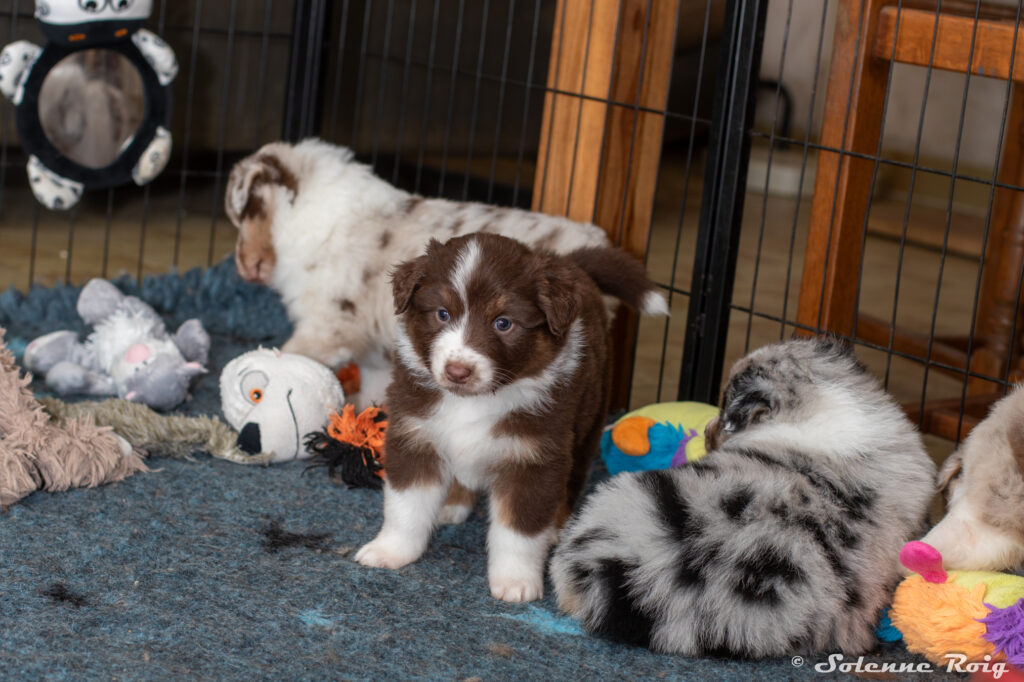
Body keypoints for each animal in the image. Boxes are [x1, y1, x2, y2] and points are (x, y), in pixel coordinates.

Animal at [224, 137, 606, 403]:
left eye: (245, 214)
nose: (240, 268)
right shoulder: (375, 342)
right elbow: (374, 378)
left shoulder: (330, 324)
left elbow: (291, 355)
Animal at [354, 233, 671, 602]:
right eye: (442, 314)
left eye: (503, 323)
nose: (457, 371)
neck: (474, 401)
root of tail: (571, 264)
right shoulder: (415, 435)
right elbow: (405, 507)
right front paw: (389, 551)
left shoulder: (533, 458)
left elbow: (519, 531)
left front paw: (516, 581)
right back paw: (451, 503)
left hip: (589, 421)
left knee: (572, 480)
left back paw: (557, 526)